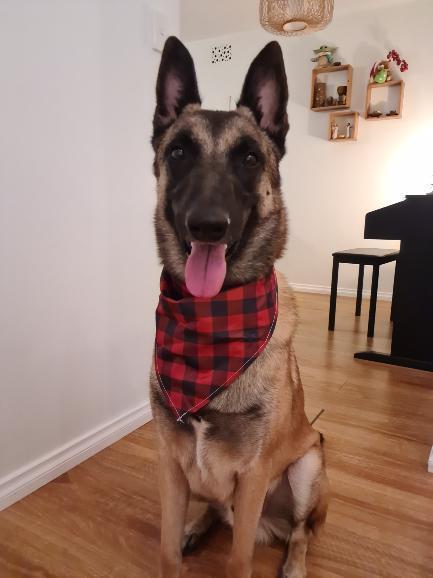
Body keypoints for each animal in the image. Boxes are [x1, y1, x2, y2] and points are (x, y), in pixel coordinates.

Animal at [149, 37, 328, 576]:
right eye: (178, 152)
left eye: (249, 158)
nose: (208, 225)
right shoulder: (170, 466)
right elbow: (166, 552)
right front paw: (179, 542)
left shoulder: (252, 479)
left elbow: (239, 560)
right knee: (214, 510)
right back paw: (197, 527)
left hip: (310, 462)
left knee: (300, 532)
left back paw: (294, 563)